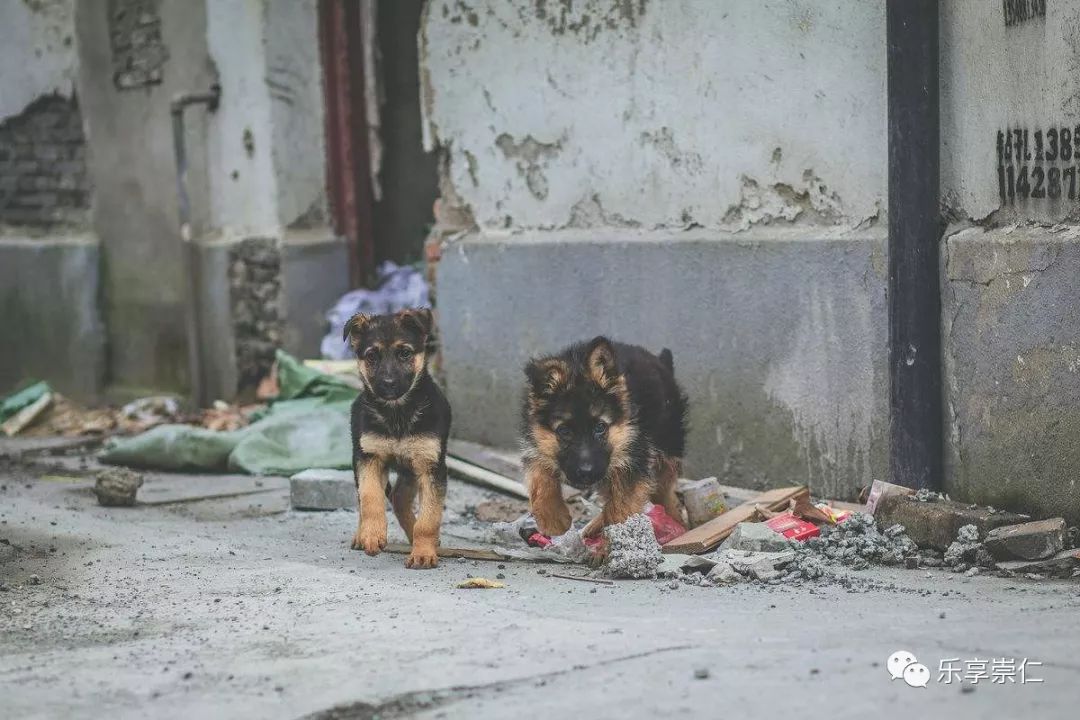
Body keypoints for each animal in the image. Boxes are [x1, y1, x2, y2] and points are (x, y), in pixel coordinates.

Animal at [343, 310, 449, 569]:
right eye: (372, 356)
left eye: (405, 353)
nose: (388, 384)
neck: (397, 413)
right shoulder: (369, 458)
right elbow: (370, 498)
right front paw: (371, 534)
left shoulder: (431, 466)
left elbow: (429, 517)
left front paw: (423, 552)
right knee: (371, 497)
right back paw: (361, 534)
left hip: (410, 469)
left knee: (399, 498)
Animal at [518, 338, 686, 546]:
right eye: (564, 431)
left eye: (600, 427)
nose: (585, 473)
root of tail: (661, 362)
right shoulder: (537, 444)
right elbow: (539, 477)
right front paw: (553, 519)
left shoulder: (633, 458)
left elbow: (621, 509)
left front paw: (617, 542)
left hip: (667, 450)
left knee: (663, 492)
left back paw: (676, 522)